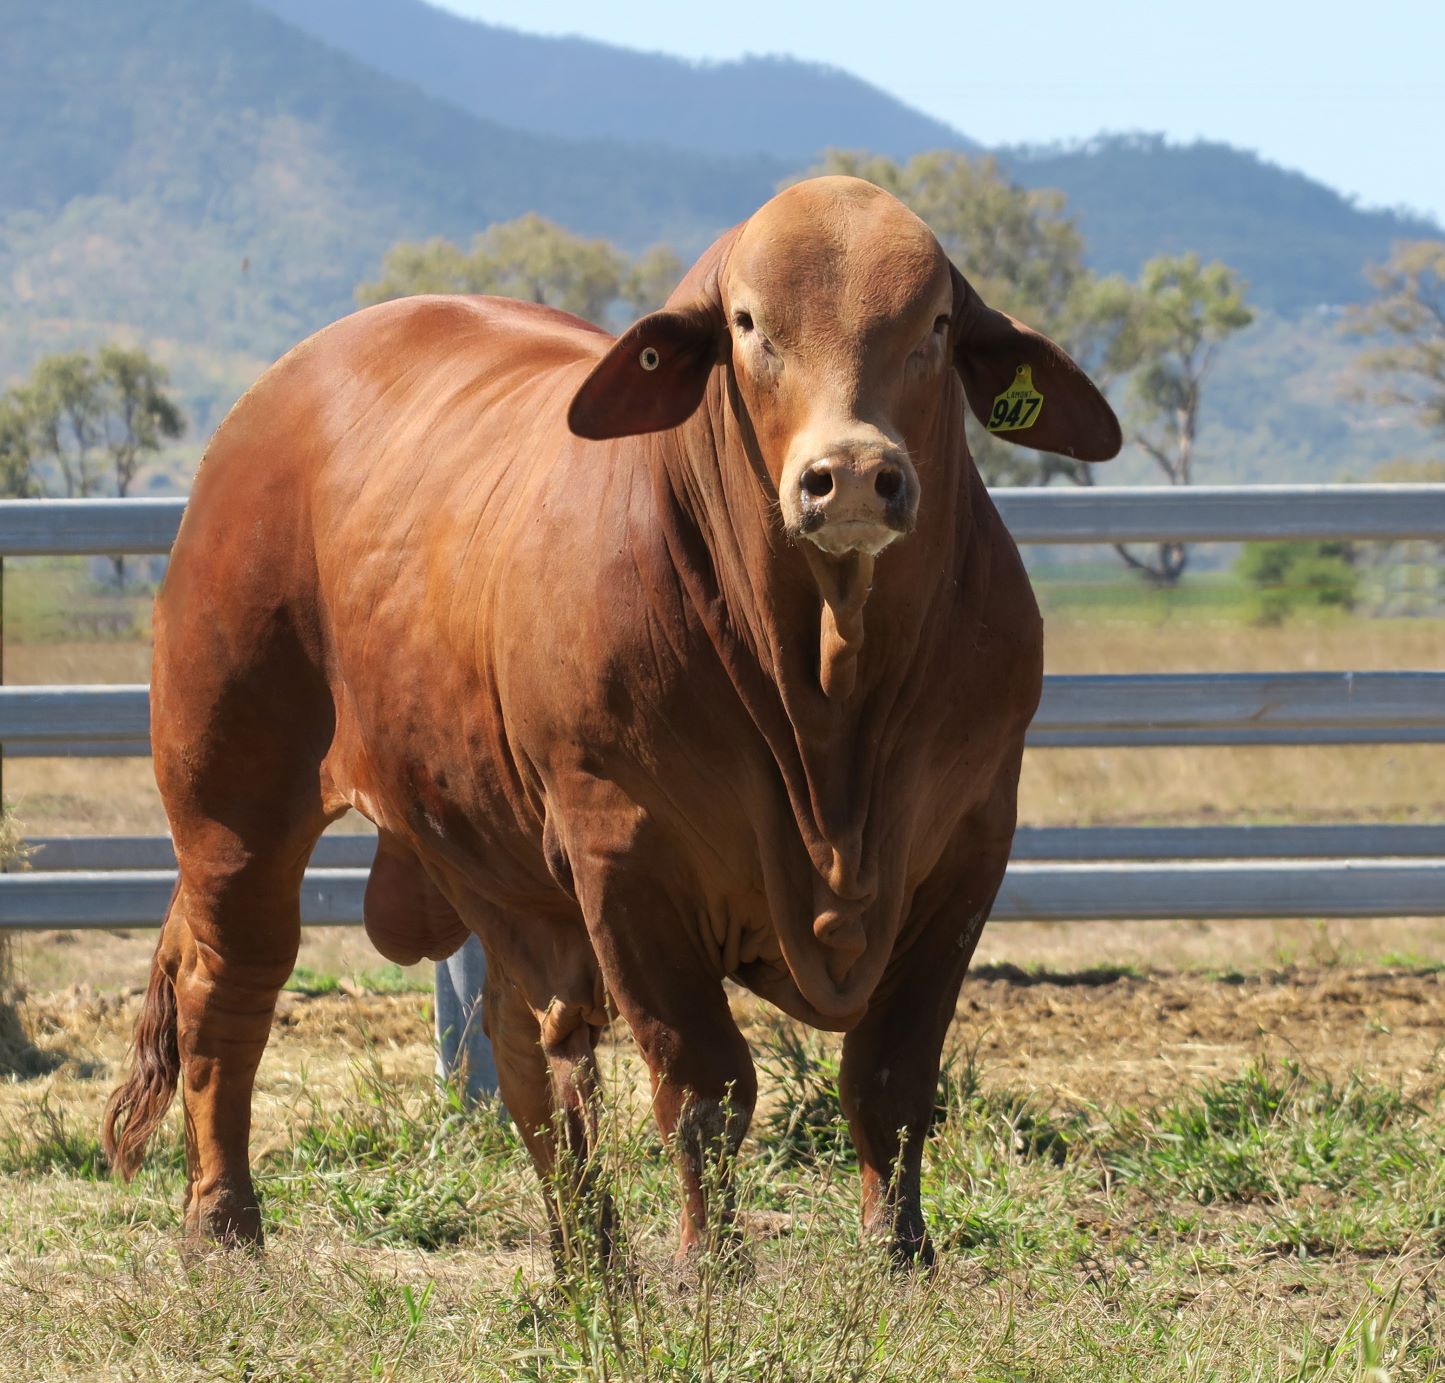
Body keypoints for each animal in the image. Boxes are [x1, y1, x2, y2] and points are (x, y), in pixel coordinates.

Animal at [103, 176, 1119, 1267]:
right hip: (232, 803)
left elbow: (889, 1077)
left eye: (932, 324)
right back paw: (223, 1224)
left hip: (489, 853)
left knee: (520, 1046)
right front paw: (709, 1267)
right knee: (229, 992)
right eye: (748, 324)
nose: (850, 473)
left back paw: (586, 1262)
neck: (827, 698)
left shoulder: (967, 846)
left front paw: (901, 1257)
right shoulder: (624, 853)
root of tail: (269, 399)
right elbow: (707, 1084)